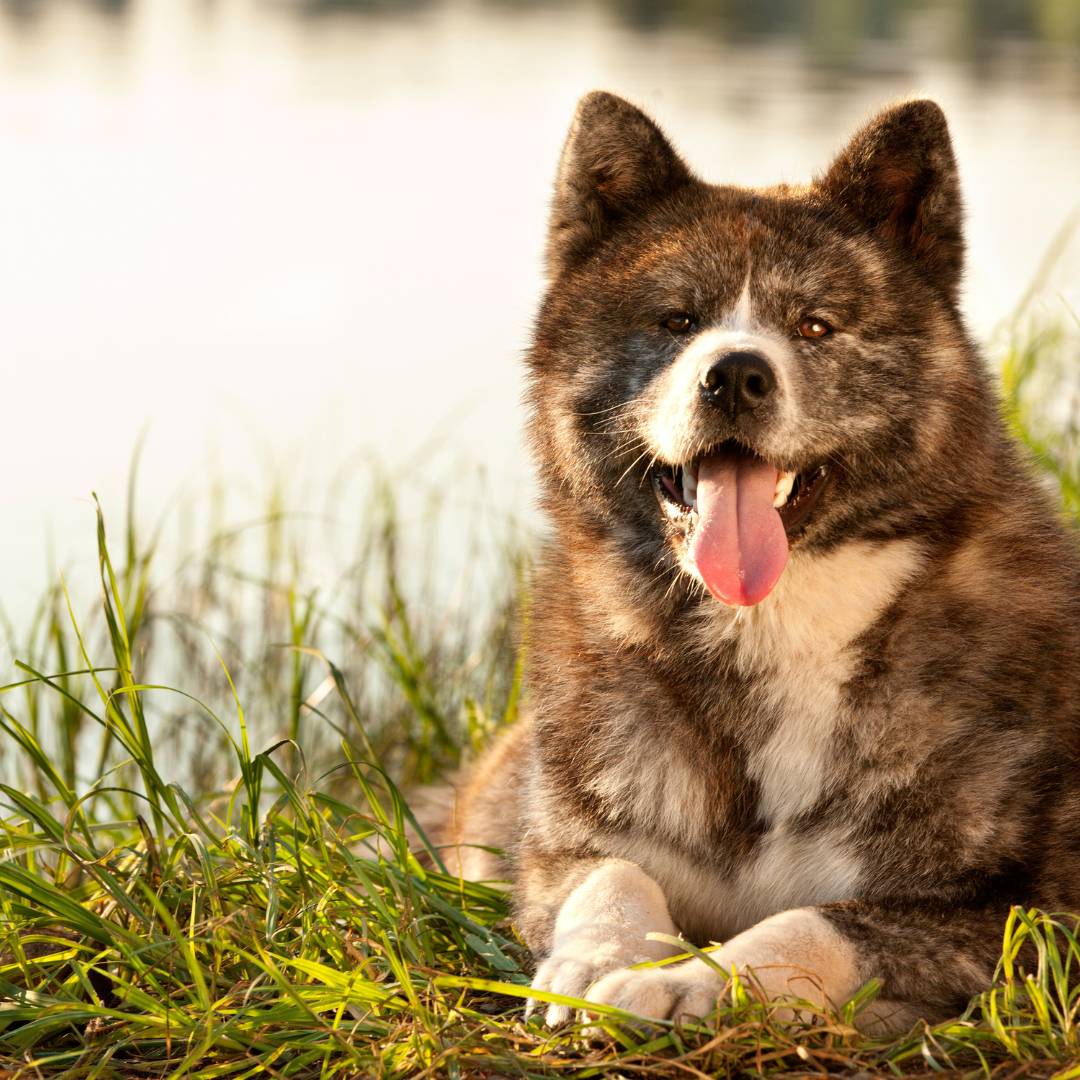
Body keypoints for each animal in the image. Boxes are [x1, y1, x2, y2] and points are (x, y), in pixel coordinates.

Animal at [438, 95, 1080, 1036]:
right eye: (677, 320)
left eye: (814, 325)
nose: (735, 374)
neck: (771, 624)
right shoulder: (558, 852)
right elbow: (611, 873)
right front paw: (599, 960)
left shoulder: (1026, 915)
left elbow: (814, 922)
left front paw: (695, 982)